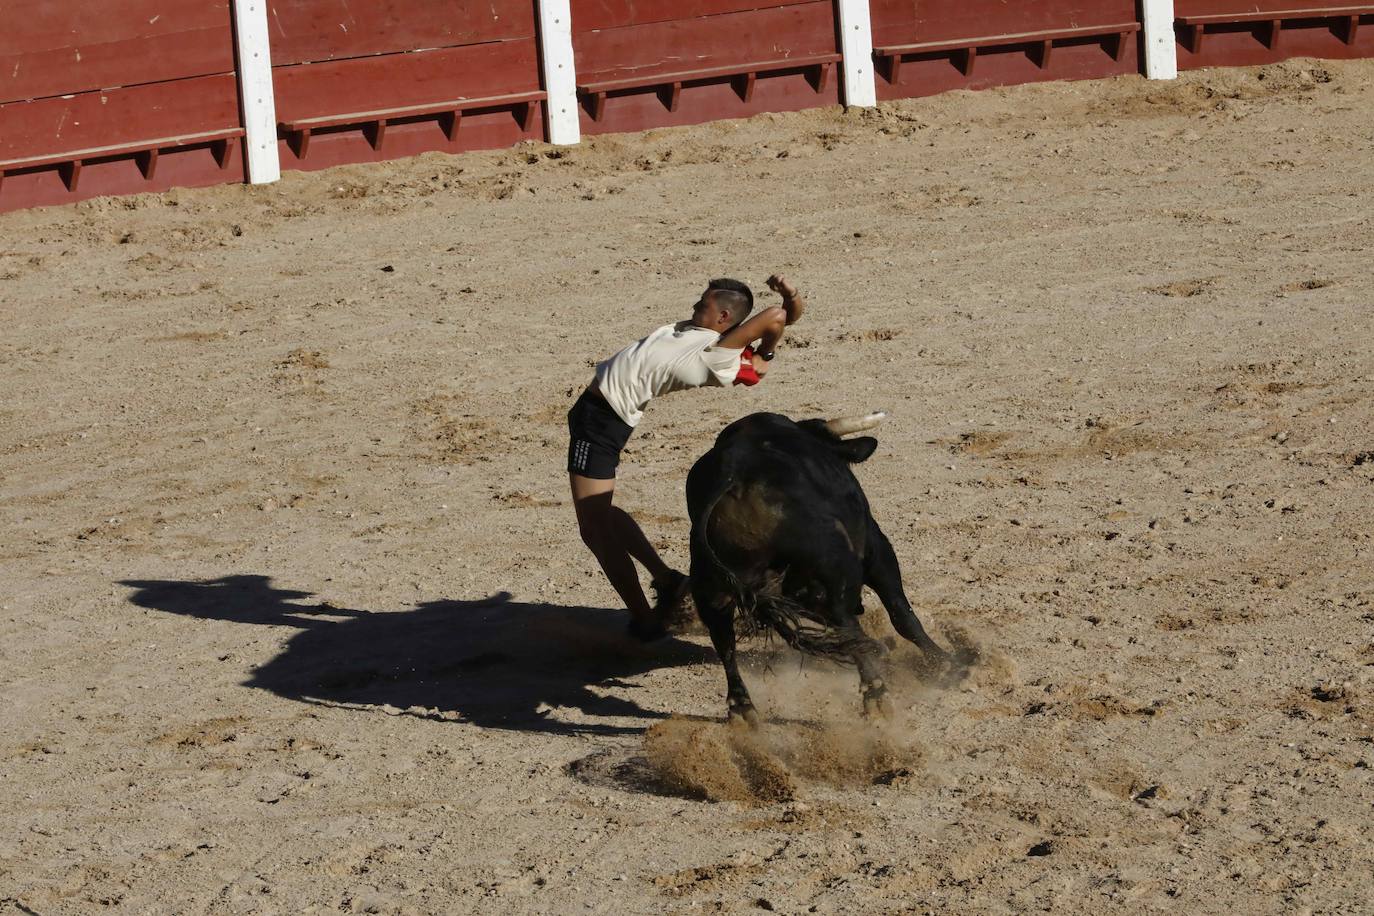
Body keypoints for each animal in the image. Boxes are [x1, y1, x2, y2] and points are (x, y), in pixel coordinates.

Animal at [687, 414, 967, 725]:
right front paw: (946, 666)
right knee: (848, 625)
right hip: (836, 569)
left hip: (712, 592)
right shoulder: (876, 548)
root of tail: (733, 482)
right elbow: (902, 614)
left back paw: (742, 708)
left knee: (724, 642)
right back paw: (877, 693)